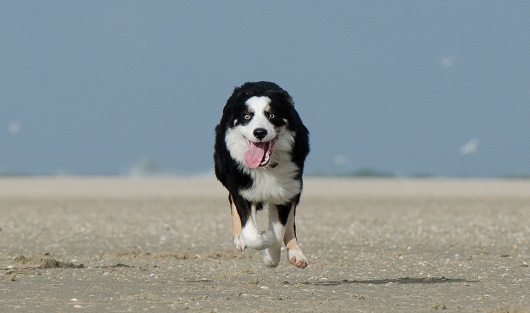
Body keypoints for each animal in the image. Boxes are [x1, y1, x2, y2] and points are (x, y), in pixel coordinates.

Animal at [213, 81, 310, 268]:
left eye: (271, 115)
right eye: (246, 116)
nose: (259, 132)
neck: (266, 168)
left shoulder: (284, 191)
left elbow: (279, 230)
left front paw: (271, 258)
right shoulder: (243, 188)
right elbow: (252, 233)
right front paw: (264, 237)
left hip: (296, 185)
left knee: (290, 223)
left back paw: (296, 254)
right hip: (224, 171)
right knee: (231, 199)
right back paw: (239, 238)